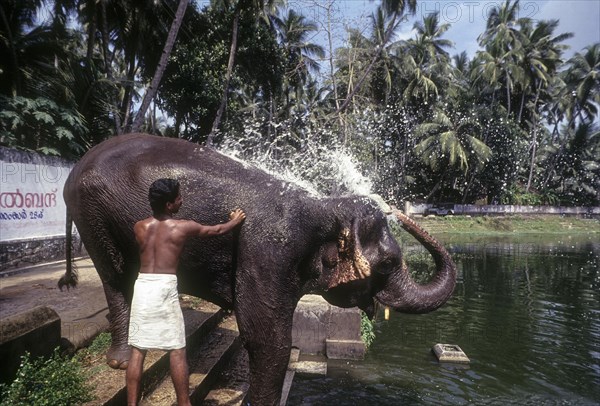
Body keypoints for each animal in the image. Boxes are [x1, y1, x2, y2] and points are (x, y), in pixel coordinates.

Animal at [59, 134, 454, 406]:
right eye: (387, 264)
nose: (396, 208)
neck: (325, 207)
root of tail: (76, 166)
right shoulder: (266, 249)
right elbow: (268, 340)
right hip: (91, 212)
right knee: (115, 276)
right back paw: (120, 359)